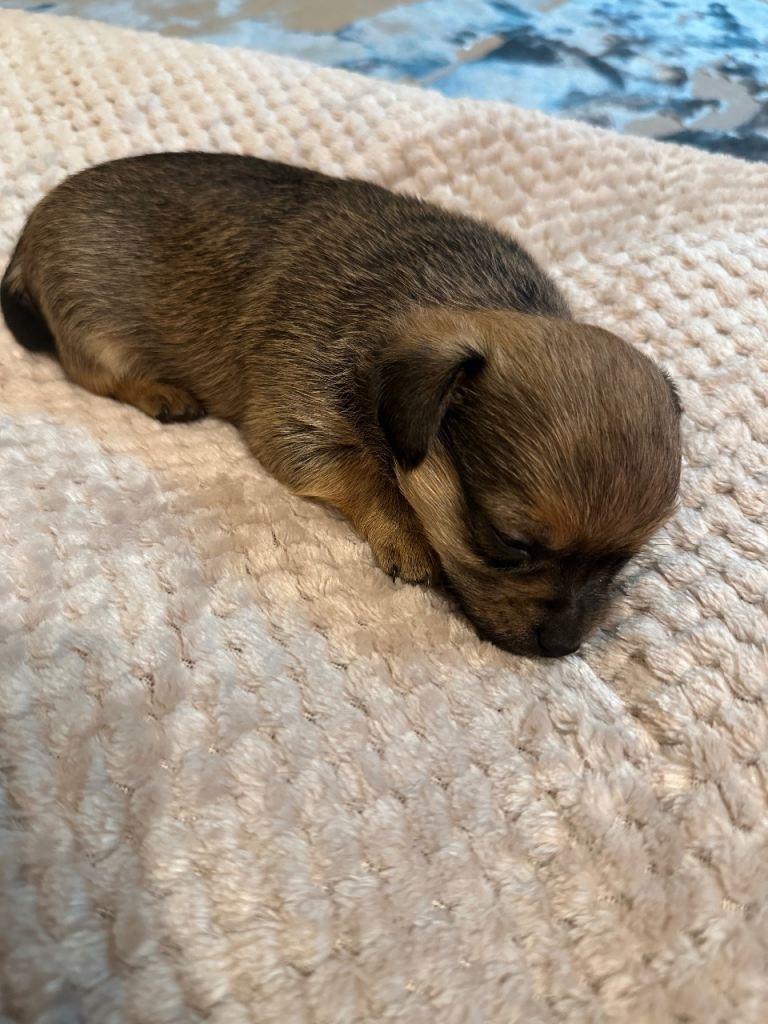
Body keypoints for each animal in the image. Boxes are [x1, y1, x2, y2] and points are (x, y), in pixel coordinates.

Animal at [1, 153, 682, 657]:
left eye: (628, 559)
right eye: (507, 542)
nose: (563, 647)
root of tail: (27, 236)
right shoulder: (295, 418)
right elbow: (361, 472)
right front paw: (404, 533)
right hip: (92, 325)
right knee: (92, 372)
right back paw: (159, 392)